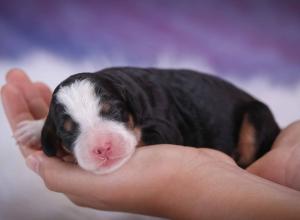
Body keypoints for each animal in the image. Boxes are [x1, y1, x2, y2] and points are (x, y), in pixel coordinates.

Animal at [14, 67, 280, 174]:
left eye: (114, 111)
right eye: (68, 130)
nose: (102, 148)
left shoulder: (167, 130)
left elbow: (140, 138)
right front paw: (32, 128)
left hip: (257, 115)